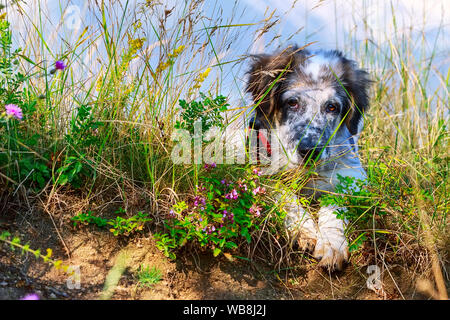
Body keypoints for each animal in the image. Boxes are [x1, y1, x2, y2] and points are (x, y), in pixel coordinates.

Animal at [244, 45, 370, 270]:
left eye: (332, 107)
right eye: (292, 103)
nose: (310, 150)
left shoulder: (351, 175)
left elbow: (334, 202)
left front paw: (332, 245)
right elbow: (283, 193)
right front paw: (305, 230)